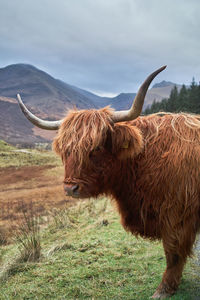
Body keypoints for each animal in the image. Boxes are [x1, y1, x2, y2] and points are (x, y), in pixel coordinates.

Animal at [17, 67, 200, 298]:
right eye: (66, 150)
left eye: (95, 147)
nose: (70, 188)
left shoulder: (177, 215)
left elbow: (173, 253)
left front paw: (164, 289)